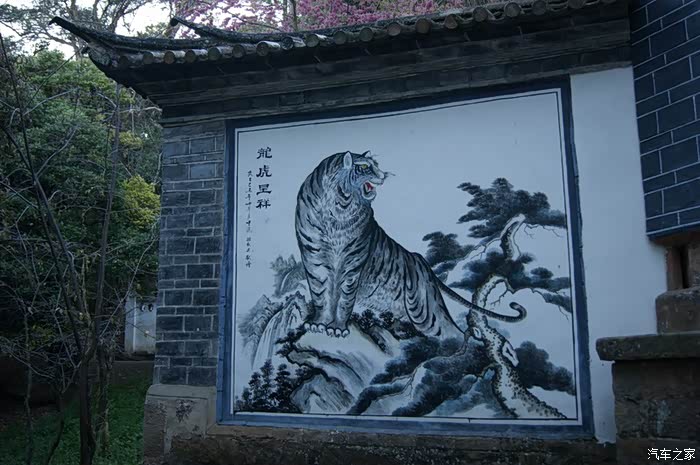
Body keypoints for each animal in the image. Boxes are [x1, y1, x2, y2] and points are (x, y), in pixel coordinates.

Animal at [294, 151, 526, 339]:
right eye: (366, 167)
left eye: (376, 165)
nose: (383, 175)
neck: (338, 209)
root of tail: (421, 261)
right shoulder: (314, 258)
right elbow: (320, 294)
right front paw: (318, 323)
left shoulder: (352, 263)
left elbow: (344, 298)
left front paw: (337, 327)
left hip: (426, 314)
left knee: (452, 333)